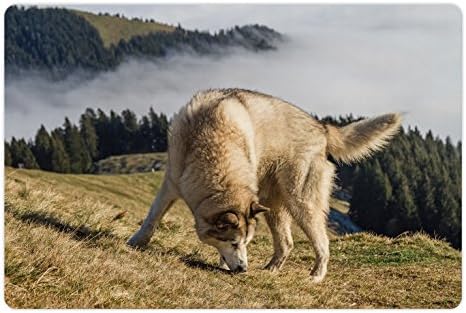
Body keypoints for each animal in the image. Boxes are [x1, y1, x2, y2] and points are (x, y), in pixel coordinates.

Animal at [127, 87, 400, 280]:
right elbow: (152, 218)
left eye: (245, 243)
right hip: (272, 205)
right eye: (234, 242)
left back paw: (316, 275)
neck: (211, 140)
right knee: (286, 243)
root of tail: (322, 128)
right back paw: (271, 269)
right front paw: (136, 243)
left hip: (300, 202)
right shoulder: (172, 182)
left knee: (322, 242)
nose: (243, 269)